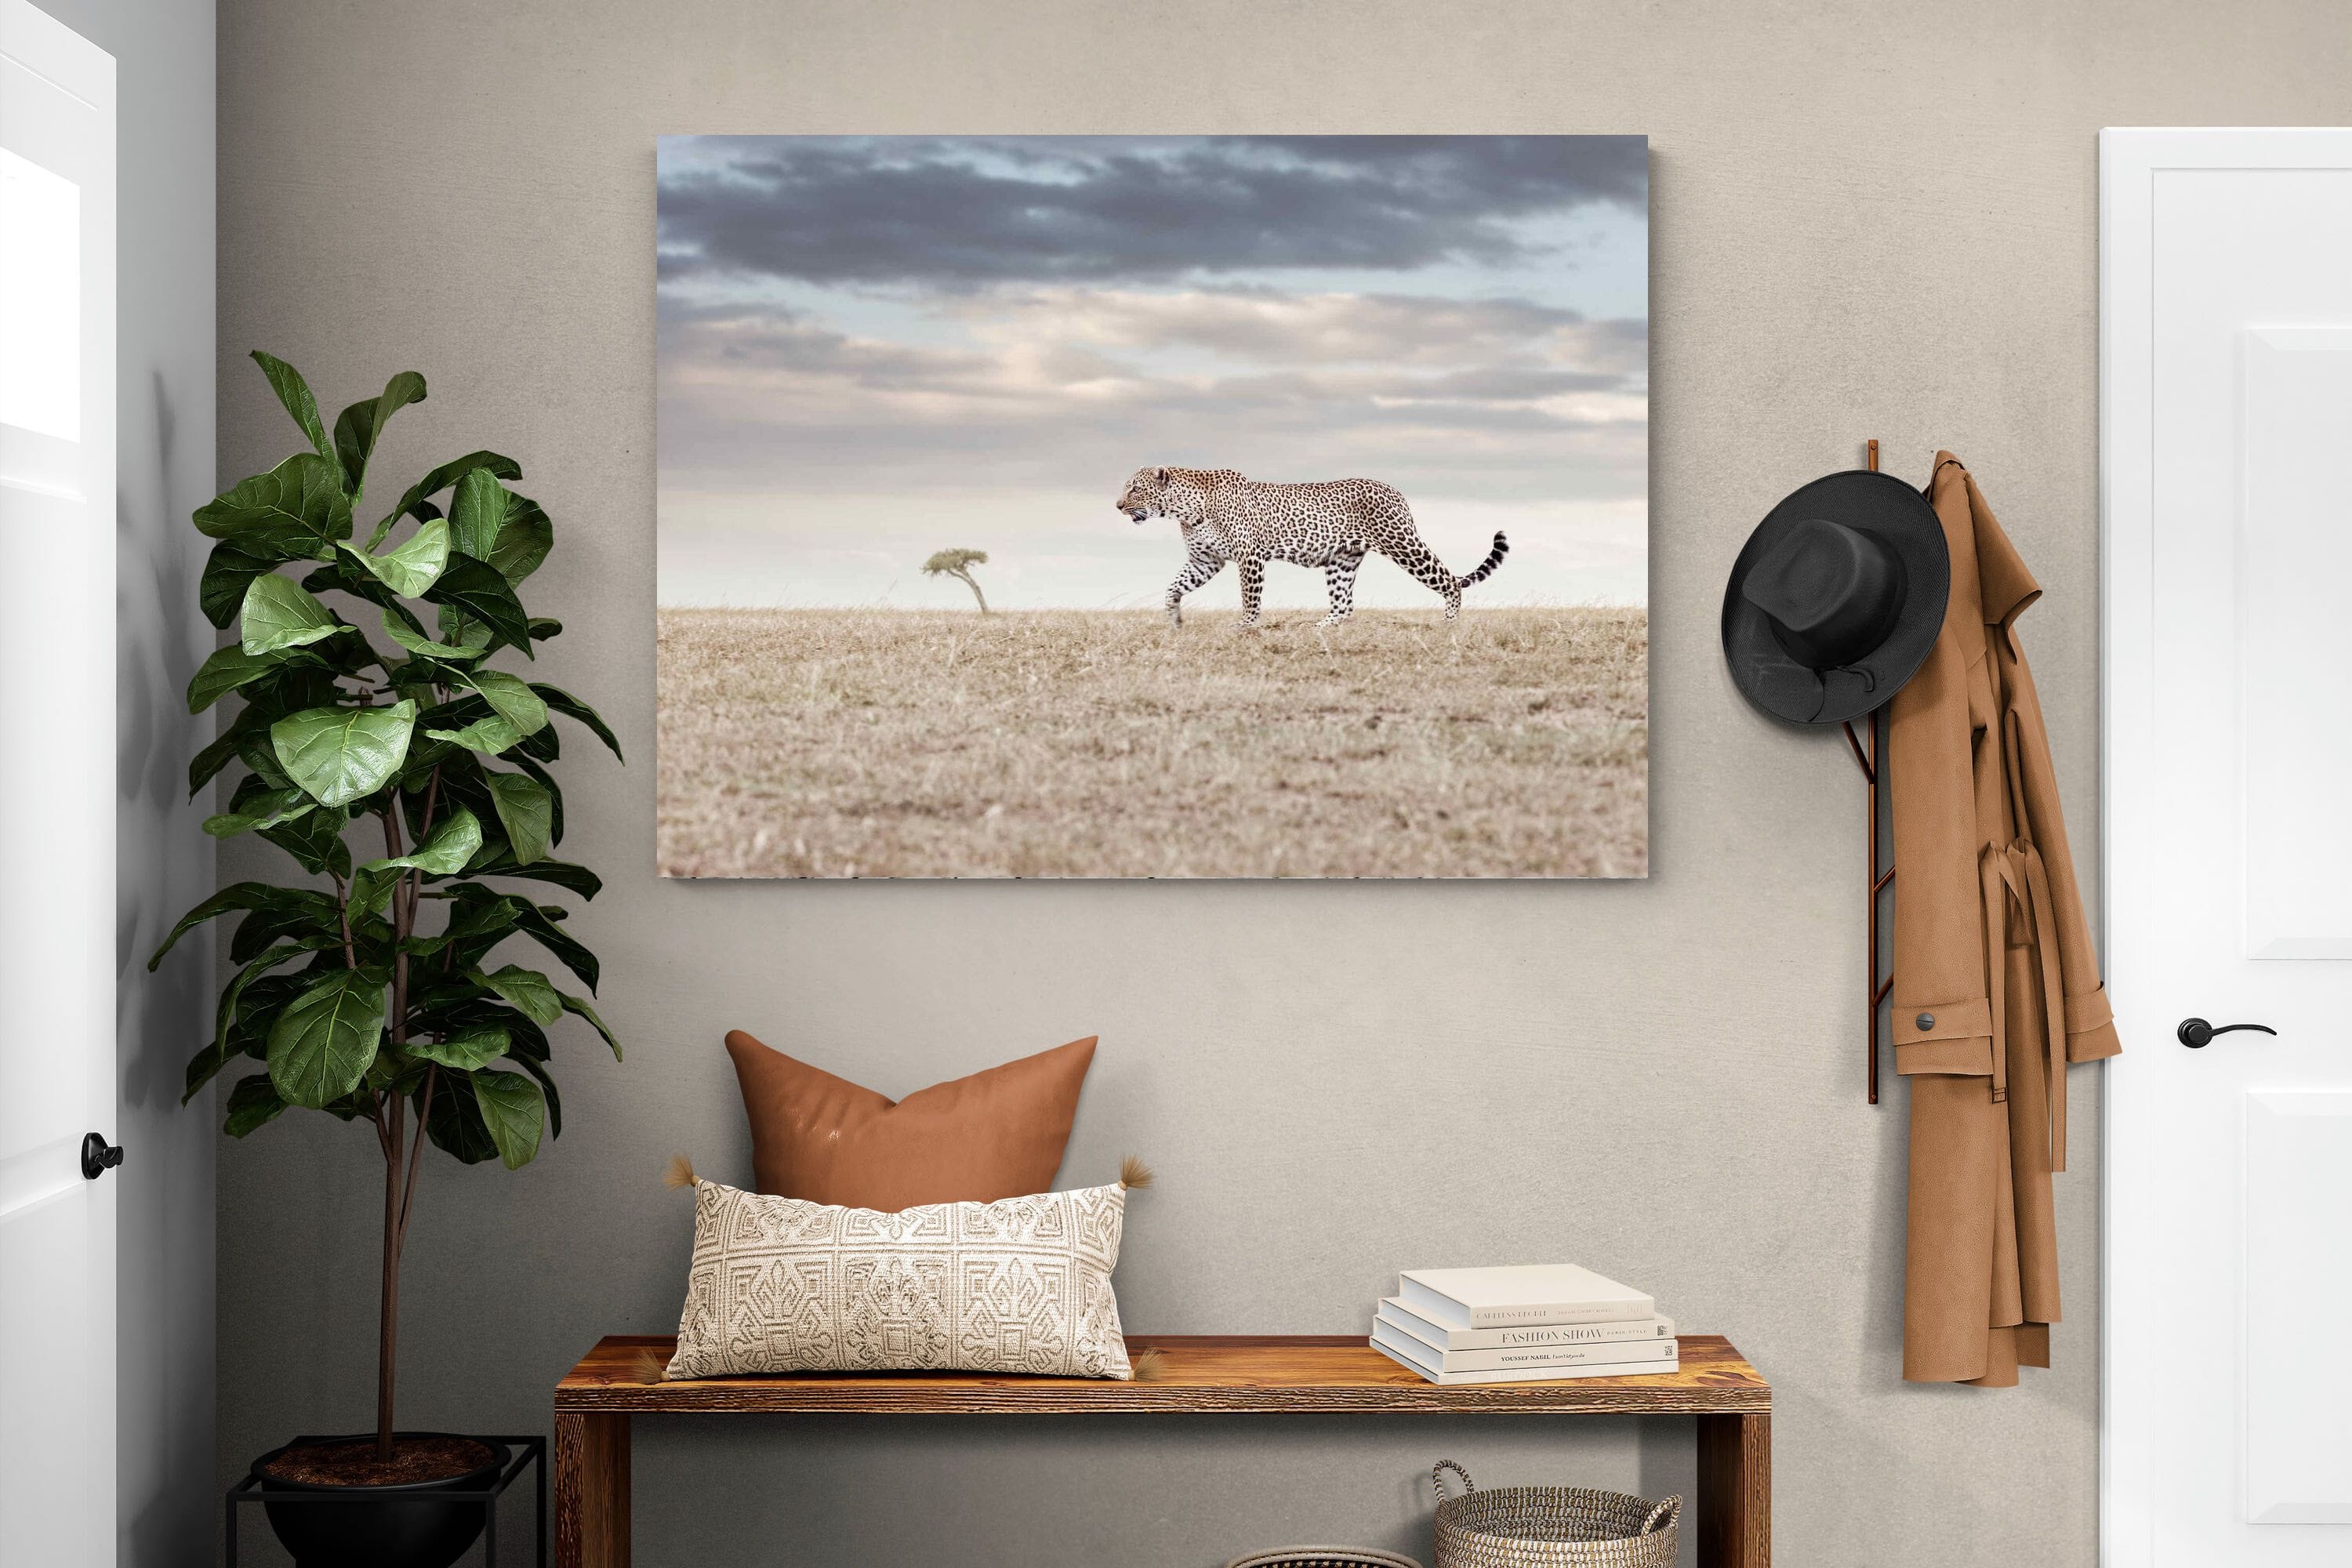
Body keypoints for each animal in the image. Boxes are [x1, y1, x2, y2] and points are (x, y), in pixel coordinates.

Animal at [1114, 465, 1509, 629]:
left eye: (1134, 488)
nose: (1117, 505)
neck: (1183, 509)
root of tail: (1395, 489)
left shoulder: (1249, 557)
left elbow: (1250, 597)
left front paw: (1245, 626)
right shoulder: (1205, 561)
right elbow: (1173, 587)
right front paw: (1174, 620)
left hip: (1402, 544)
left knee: (1449, 580)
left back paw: (1450, 621)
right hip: (1342, 561)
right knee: (1345, 605)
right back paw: (1320, 626)